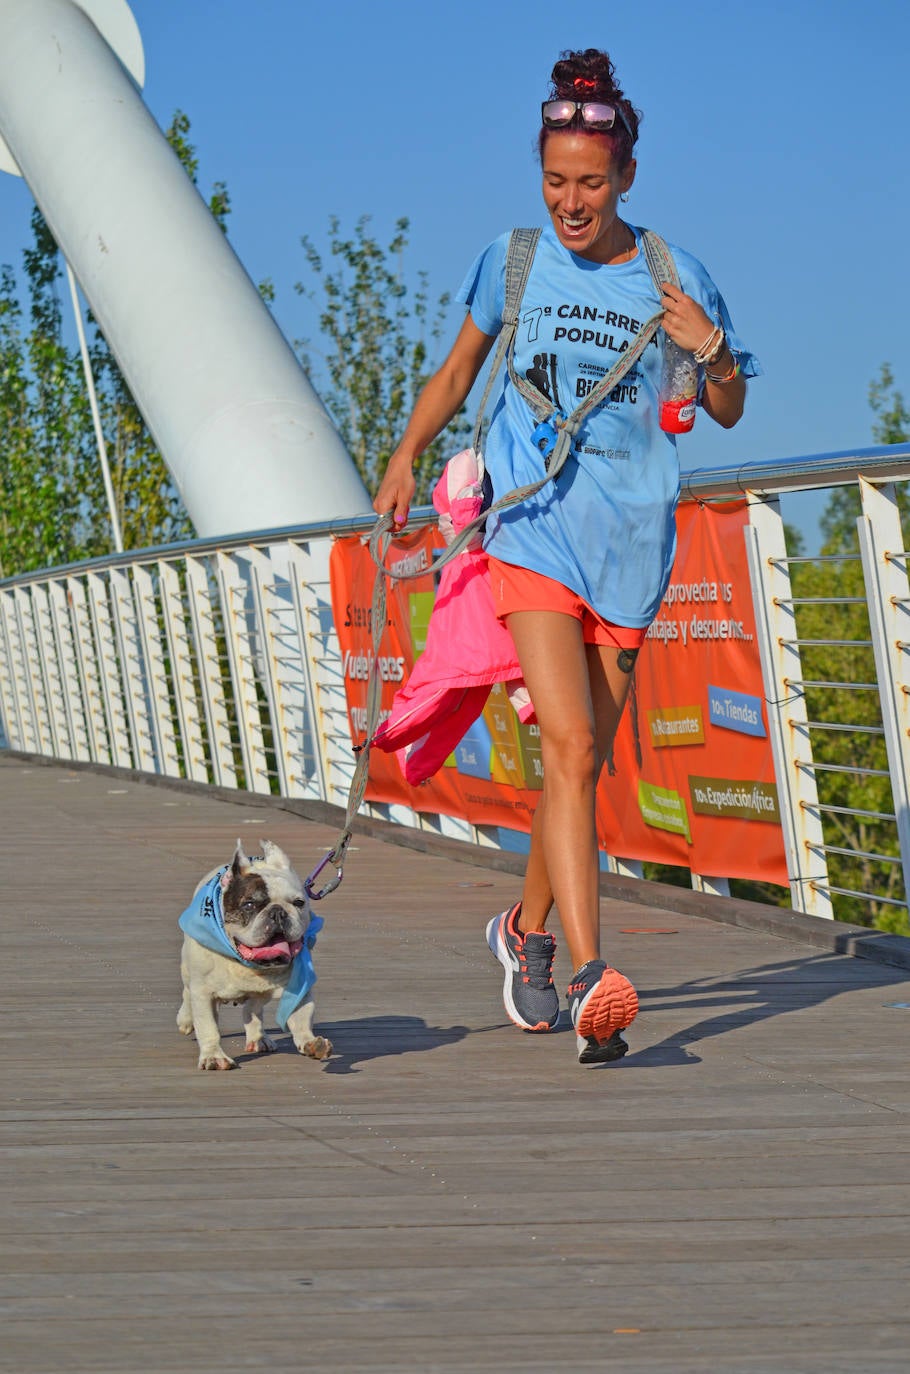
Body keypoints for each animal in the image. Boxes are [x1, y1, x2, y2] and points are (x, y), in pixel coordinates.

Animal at [175, 835, 334, 1071]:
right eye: (249, 904)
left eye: (299, 903)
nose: (278, 912)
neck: (243, 963)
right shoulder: (203, 992)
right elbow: (208, 1026)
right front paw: (213, 1056)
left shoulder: (300, 987)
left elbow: (302, 1017)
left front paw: (311, 1043)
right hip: (189, 972)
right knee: (188, 993)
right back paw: (185, 1020)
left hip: (261, 993)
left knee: (252, 1009)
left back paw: (259, 1038)